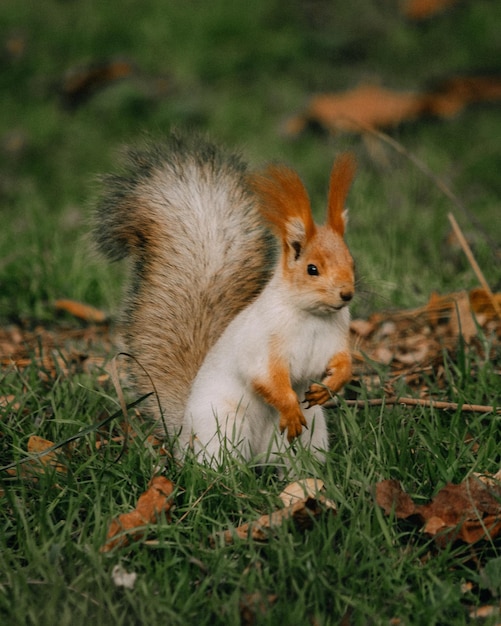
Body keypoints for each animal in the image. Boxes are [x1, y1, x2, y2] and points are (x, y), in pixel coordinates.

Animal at [93, 132, 352, 464]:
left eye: (351, 261)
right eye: (312, 269)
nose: (347, 293)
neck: (313, 318)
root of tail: (184, 434)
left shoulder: (335, 340)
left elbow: (344, 364)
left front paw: (330, 386)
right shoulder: (262, 343)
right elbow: (266, 377)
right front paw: (290, 407)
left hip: (311, 436)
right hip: (223, 427)